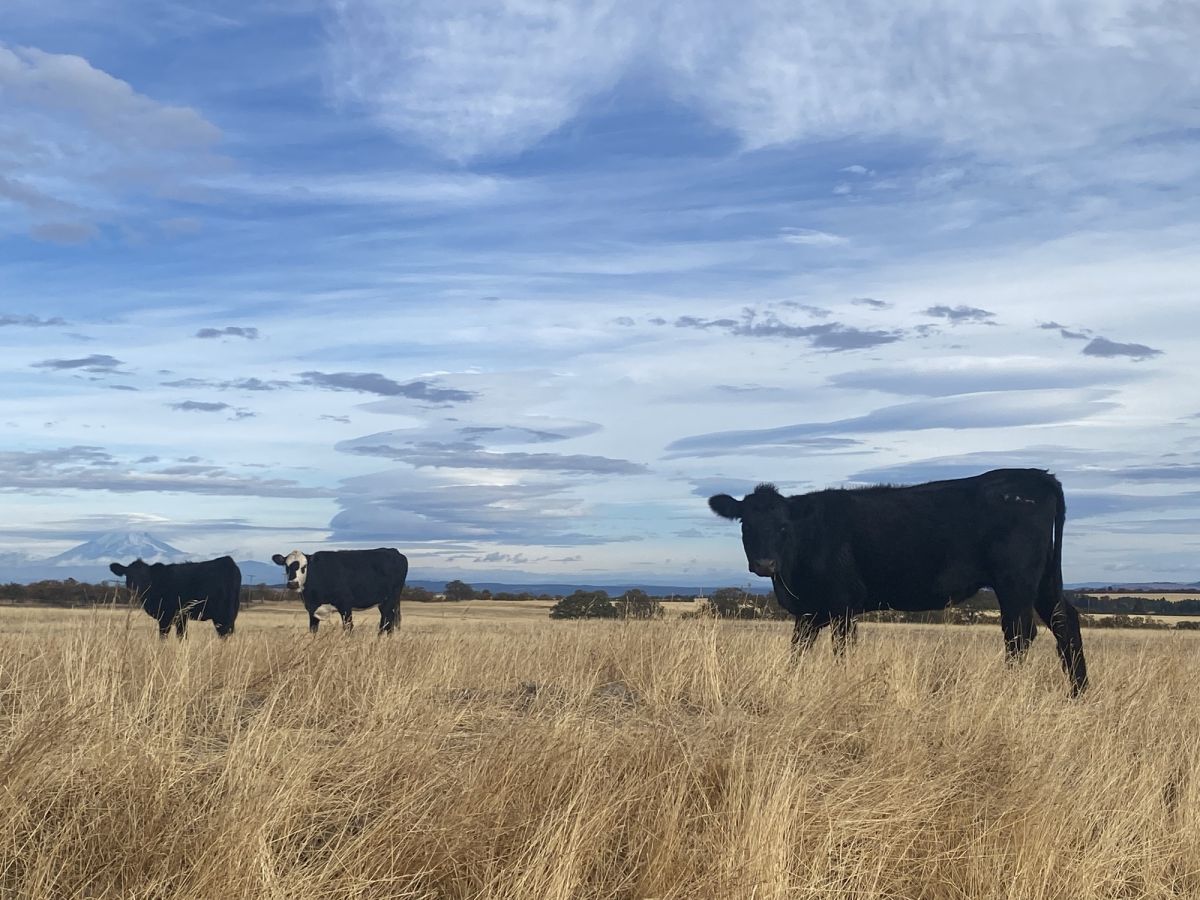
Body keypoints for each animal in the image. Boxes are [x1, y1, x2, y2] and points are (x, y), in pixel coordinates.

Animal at [109, 556, 241, 639]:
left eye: (145, 575)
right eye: (129, 574)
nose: (135, 588)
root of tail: (229, 562)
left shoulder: (168, 617)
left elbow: (169, 637)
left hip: (222, 614)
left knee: (224, 634)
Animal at [270, 548, 408, 634]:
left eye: (304, 567)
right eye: (287, 566)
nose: (293, 584)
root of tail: (394, 551)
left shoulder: (345, 606)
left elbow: (348, 628)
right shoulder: (312, 609)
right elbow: (313, 630)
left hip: (390, 600)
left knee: (386, 622)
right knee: (388, 622)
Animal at [708, 468, 1088, 695]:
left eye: (784, 527)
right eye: (745, 525)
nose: (764, 563)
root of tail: (1036, 475)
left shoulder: (843, 605)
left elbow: (842, 650)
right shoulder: (809, 612)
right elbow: (797, 653)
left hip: (1015, 580)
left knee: (1020, 632)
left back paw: (1008, 690)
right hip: (1043, 580)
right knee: (1064, 621)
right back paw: (1078, 694)